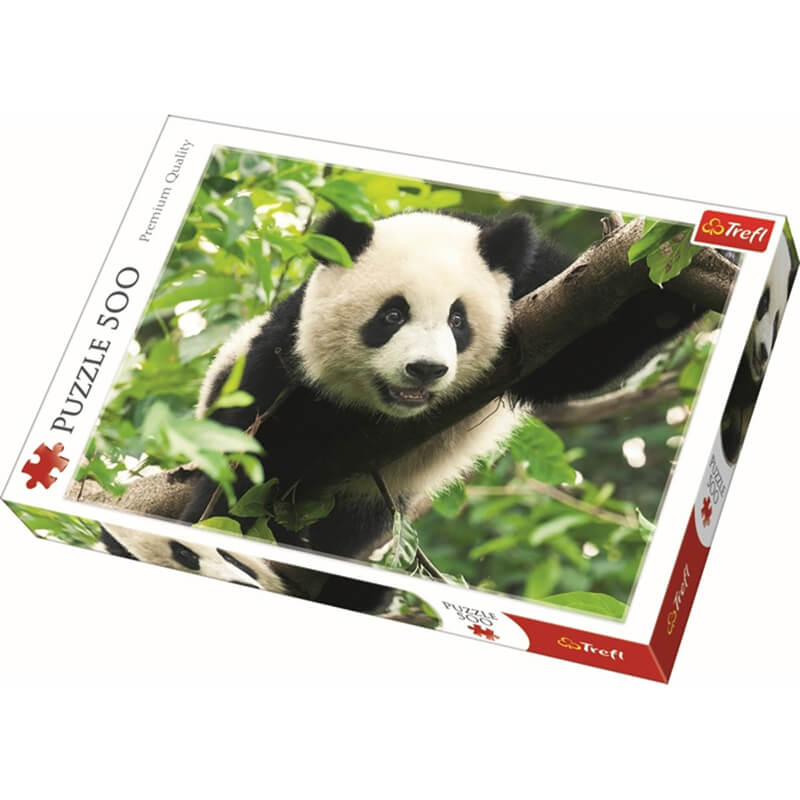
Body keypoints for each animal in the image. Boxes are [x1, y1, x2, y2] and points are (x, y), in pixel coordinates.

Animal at [180, 209, 704, 609]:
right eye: (392, 315)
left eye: (458, 319)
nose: (425, 370)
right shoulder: (285, 358)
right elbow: (249, 459)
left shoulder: (536, 287)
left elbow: (586, 353)